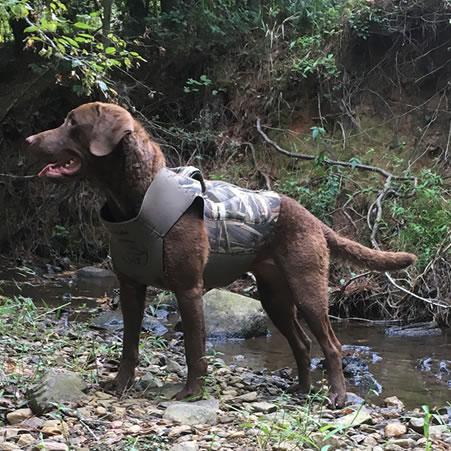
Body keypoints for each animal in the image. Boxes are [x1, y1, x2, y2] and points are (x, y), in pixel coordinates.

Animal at [26, 103, 418, 410]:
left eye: (72, 123)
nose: (28, 141)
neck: (137, 197)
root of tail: (313, 218)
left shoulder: (188, 289)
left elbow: (194, 349)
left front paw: (191, 393)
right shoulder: (131, 286)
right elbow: (129, 346)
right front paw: (120, 386)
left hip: (308, 287)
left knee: (332, 345)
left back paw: (335, 396)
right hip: (274, 296)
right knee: (302, 343)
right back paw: (301, 389)